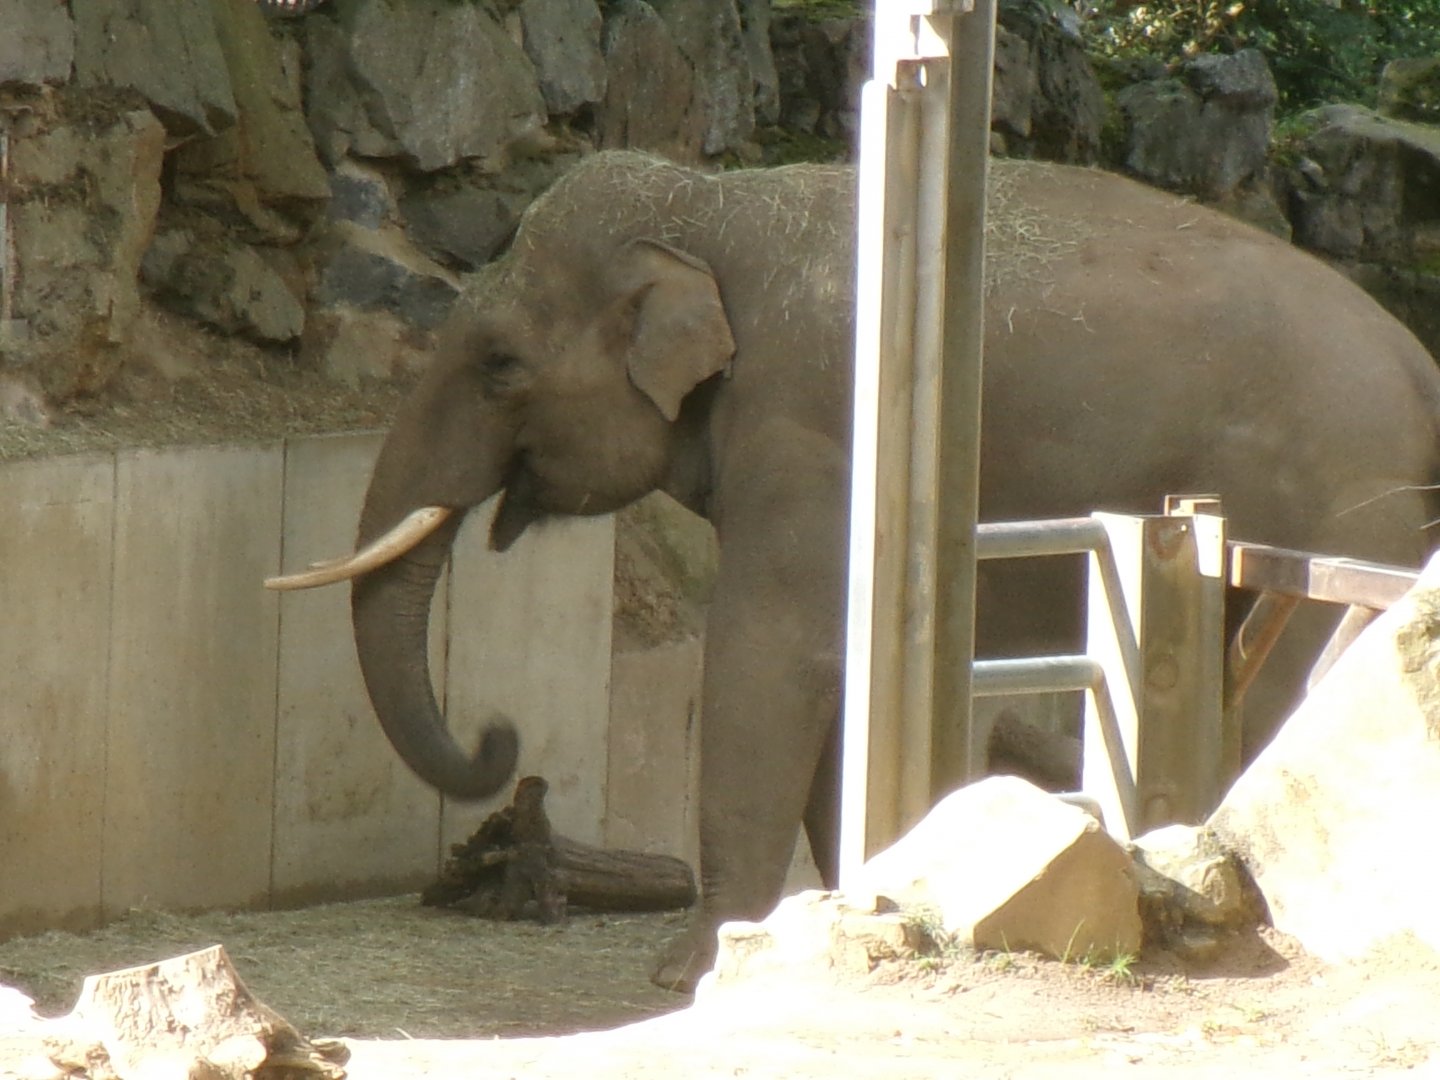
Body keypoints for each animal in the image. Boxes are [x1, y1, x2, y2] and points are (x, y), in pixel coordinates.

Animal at [269, 149, 1440, 993]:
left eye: (501, 364)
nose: (501, 740)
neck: (718, 207)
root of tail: (1421, 362)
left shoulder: (806, 429)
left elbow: (768, 658)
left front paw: (690, 971)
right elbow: (835, 664)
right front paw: (843, 910)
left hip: (1346, 500)